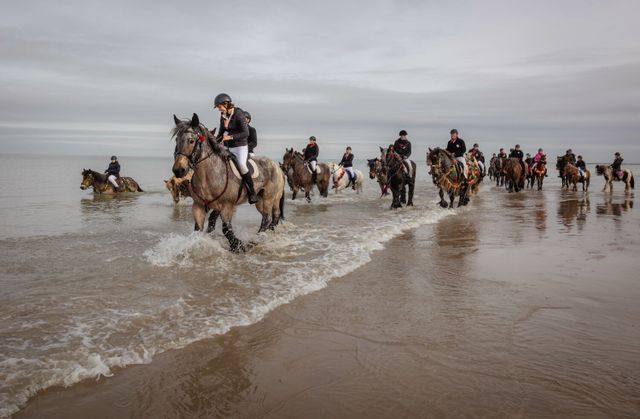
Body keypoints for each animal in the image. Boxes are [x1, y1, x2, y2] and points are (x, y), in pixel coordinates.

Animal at [171, 113, 284, 253]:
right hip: (261, 200)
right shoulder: (198, 206)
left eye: (191, 141)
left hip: (269, 197)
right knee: (268, 217)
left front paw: (238, 246)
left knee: (268, 218)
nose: (178, 170)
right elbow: (198, 230)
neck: (207, 176)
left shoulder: (226, 206)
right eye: (176, 140)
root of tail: (277, 167)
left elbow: (226, 229)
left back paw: (255, 240)